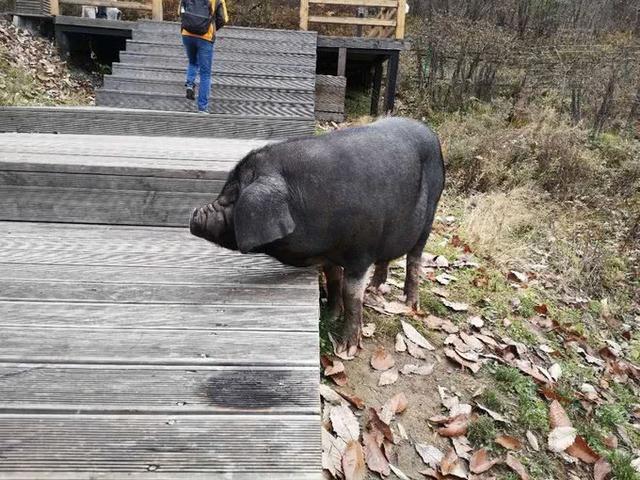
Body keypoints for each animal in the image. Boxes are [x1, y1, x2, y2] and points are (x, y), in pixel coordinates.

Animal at [190, 116, 444, 356]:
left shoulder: (361, 252)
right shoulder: (328, 256)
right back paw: (374, 288)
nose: (194, 213)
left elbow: (351, 294)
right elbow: (333, 281)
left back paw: (410, 304)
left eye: (233, 196)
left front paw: (346, 349)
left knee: (414, 259)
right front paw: (330, 316)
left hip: (430, 215)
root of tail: (430, 132)